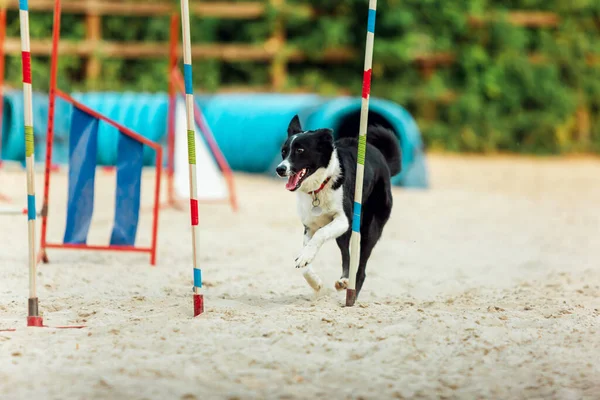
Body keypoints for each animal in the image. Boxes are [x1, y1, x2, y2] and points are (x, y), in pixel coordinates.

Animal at [278, 114, 404, 298]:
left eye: (300, 151)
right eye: (284, 151)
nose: (279, 169)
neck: (320, 186)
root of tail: (384, 161)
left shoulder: (344, 220)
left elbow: (320, 235)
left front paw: (305, 258)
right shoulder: (310, 226)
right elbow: (305, 262)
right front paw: (315, 282)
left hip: (369, 230)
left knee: (361, 267)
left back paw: (352, 292)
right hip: (344, 234)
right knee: (347, 254)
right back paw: (343, 280)